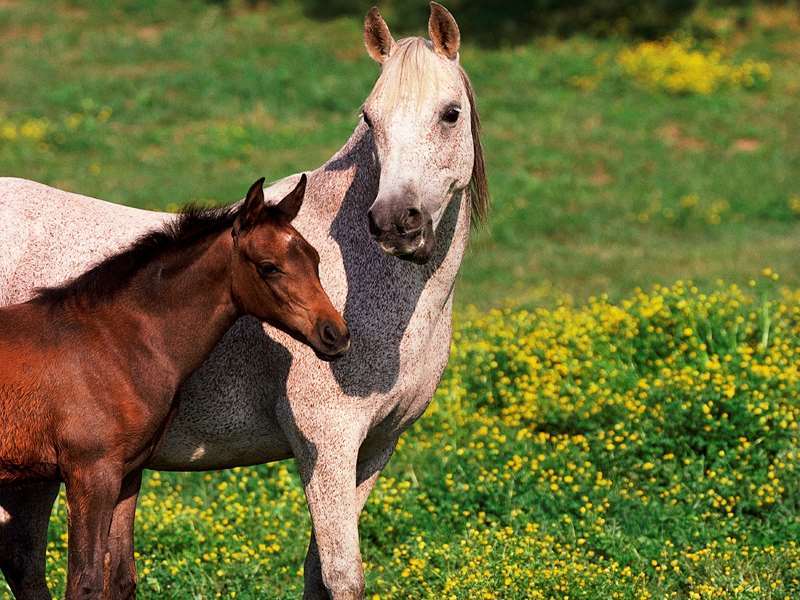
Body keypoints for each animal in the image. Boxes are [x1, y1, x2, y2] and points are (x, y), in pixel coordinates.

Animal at [0, 176, 350, 596]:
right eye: (269, 267)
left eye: (314, 259)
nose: (336, 335)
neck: (112, 342)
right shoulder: (90, 474)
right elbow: (86, 582)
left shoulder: (128, 473)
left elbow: (121, 579)